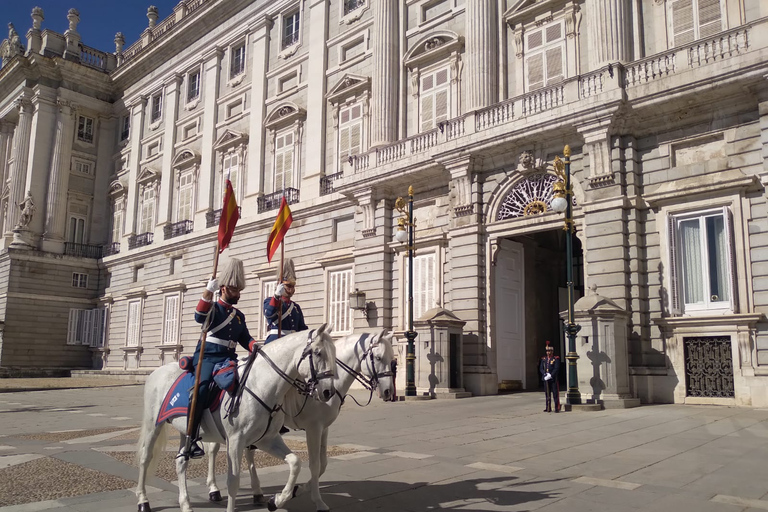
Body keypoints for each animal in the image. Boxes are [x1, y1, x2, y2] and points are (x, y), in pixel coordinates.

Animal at [134, 324, 336, 512]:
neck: (261, 384)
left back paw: (185, 504)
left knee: (181, 461)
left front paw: (277, 500)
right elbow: (233, 480)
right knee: (145, 457)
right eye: (318, 353)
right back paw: (143, 500)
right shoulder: (235, 440)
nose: (328, 392)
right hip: (153, 426)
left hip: (186, 429)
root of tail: (156, 372)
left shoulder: (266, 439)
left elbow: (295, 462)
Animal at [204, 330, 396, 510]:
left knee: (248, 452)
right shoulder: (313, 428)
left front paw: (295, 491)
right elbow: (315, 465)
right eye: (378, 357)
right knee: (213, 449)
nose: (388, 392)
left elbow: (323, 464)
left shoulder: (323, 428)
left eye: (392, 359)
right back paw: (213, 489)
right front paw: (316, 500)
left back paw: (257, 492)